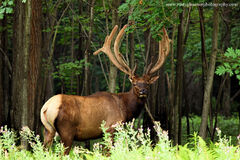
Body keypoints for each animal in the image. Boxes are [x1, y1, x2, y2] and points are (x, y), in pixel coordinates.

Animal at [39, 24, 171, 154]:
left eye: (147, 84)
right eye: (134, 83)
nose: (143, 91)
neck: (125, 108)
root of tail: (46, 108)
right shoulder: (111, 128)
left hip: (48, 130)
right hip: (67, 130)